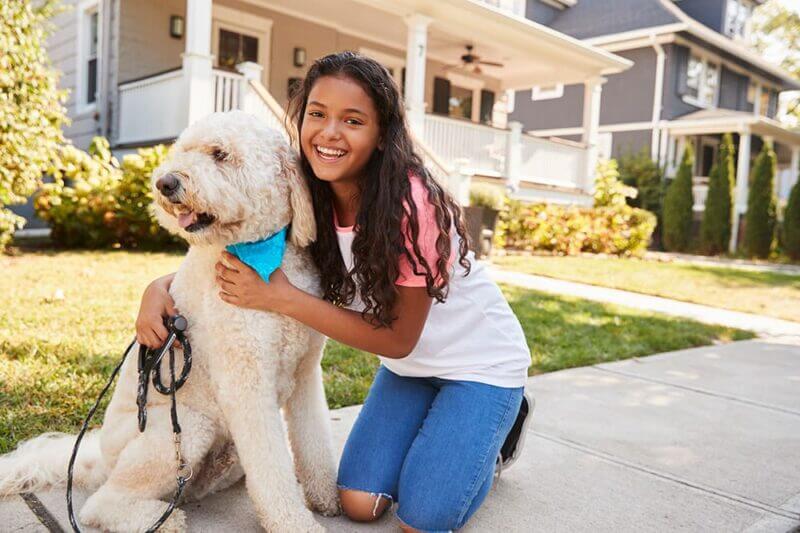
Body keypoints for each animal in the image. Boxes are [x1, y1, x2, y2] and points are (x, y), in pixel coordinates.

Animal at [0, 110, 340, 528]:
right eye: (183, 150)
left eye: (220, 154)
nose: (165, 182)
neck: (262, 254)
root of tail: (101, 461)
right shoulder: (247, 383)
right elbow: (272, 469)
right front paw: (294, 521)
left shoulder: (305, 372)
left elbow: (314, 439)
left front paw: (325, 497)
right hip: (187, 426)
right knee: (99, 503)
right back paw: (160, 520)